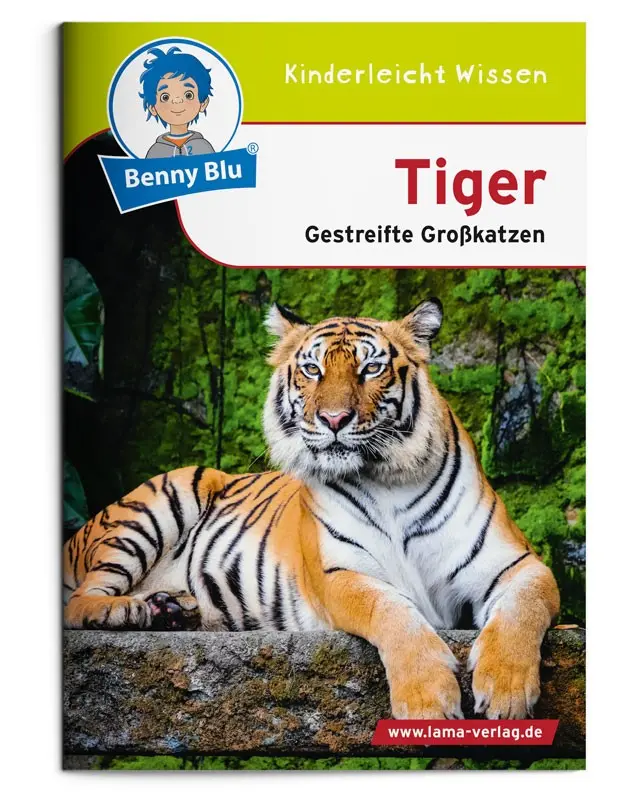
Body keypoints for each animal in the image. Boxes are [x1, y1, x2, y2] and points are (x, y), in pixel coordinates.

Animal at [63, 299, 560, 721]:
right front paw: (426, 701)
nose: (334, 419)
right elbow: (393, 612)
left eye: (371, 368)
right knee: (78, 602)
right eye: (312, 370)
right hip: (163, 499)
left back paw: (171, 609)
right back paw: (133, 611)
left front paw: (507, 691)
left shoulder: (518, 564)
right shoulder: (339, 574)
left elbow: (522, 611)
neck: (388, 478)